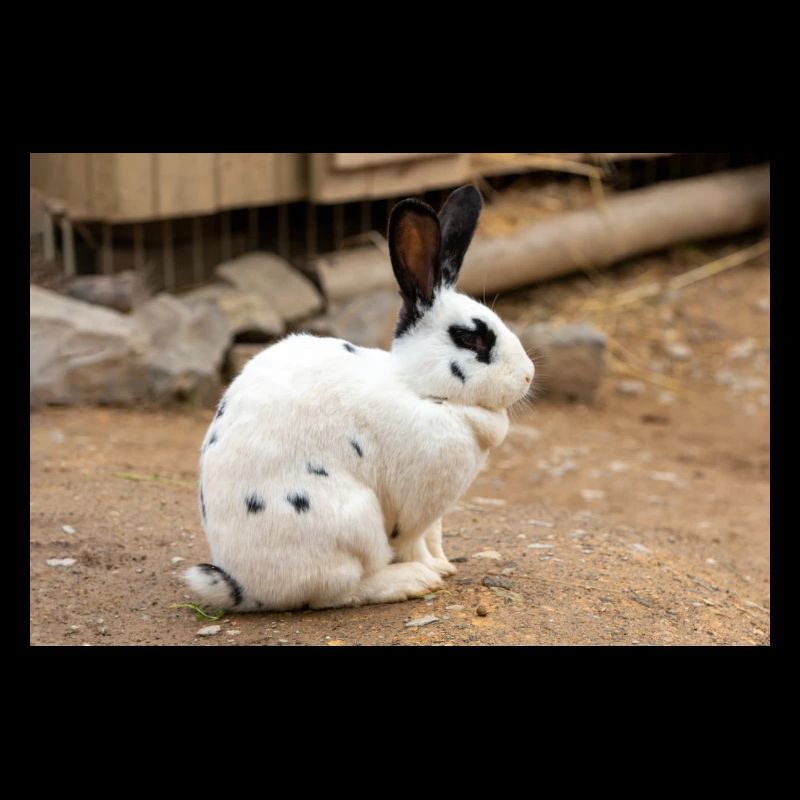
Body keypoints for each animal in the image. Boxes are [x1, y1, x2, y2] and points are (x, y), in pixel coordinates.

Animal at [184, 185, 534, 611]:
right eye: (472, 338)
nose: (528, 375)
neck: (422, 390)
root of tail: (241, 584)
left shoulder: (434, 517)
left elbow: (434, 539)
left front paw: (445, 565)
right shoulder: (414, 511)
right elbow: (413, 543)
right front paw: (431, 572)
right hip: (354, 520)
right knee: (339, 589)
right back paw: (411, 581)